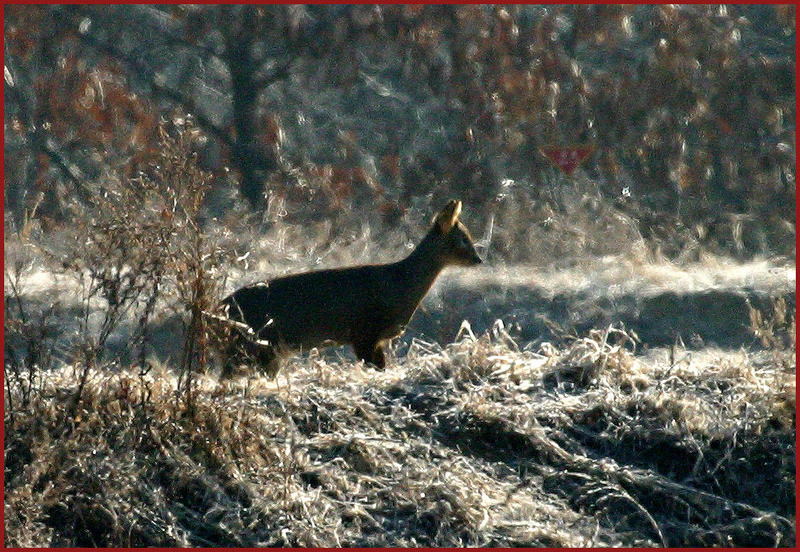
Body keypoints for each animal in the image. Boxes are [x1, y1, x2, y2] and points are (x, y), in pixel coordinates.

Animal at [219, 201, 482, 378]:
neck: (400, 285)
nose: (478, 259)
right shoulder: (364, 332)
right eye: (463, 239)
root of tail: (221, 305)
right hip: (255, 345)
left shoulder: (374, 339)